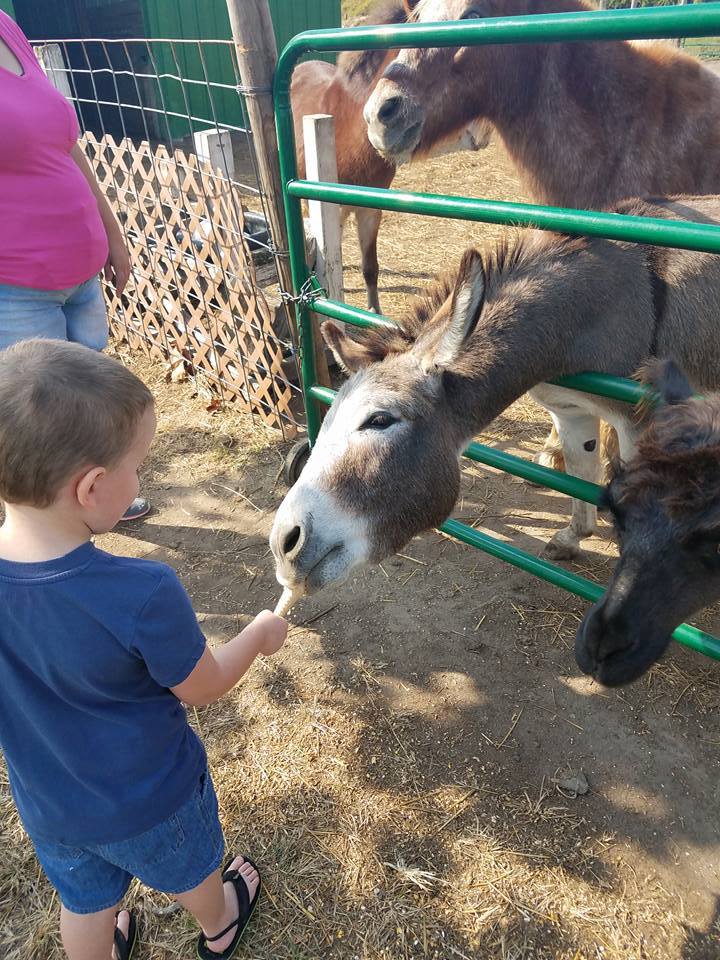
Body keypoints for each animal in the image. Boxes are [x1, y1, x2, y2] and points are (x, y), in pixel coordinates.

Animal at [270, 195, 720, 601]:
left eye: (380, 420)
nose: (283, 544)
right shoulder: (570, 411)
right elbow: (581, 473)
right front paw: (574, 536)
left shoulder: (636, 423)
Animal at [291, 0, 492, 312]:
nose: (482, 133)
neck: (347, 129)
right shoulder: (334, 208)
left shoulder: (370, 210)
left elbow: (370, 266)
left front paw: (374, 310)